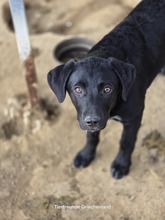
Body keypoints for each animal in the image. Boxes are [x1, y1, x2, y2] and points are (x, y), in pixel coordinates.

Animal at [47, 0, 165, 178]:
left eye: (108, 89)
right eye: (77, 89)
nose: (92, 121)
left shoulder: (134, 117)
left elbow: (126, 141)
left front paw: (121, 165)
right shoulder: (88, 116)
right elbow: (91, 137)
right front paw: (86, 155)